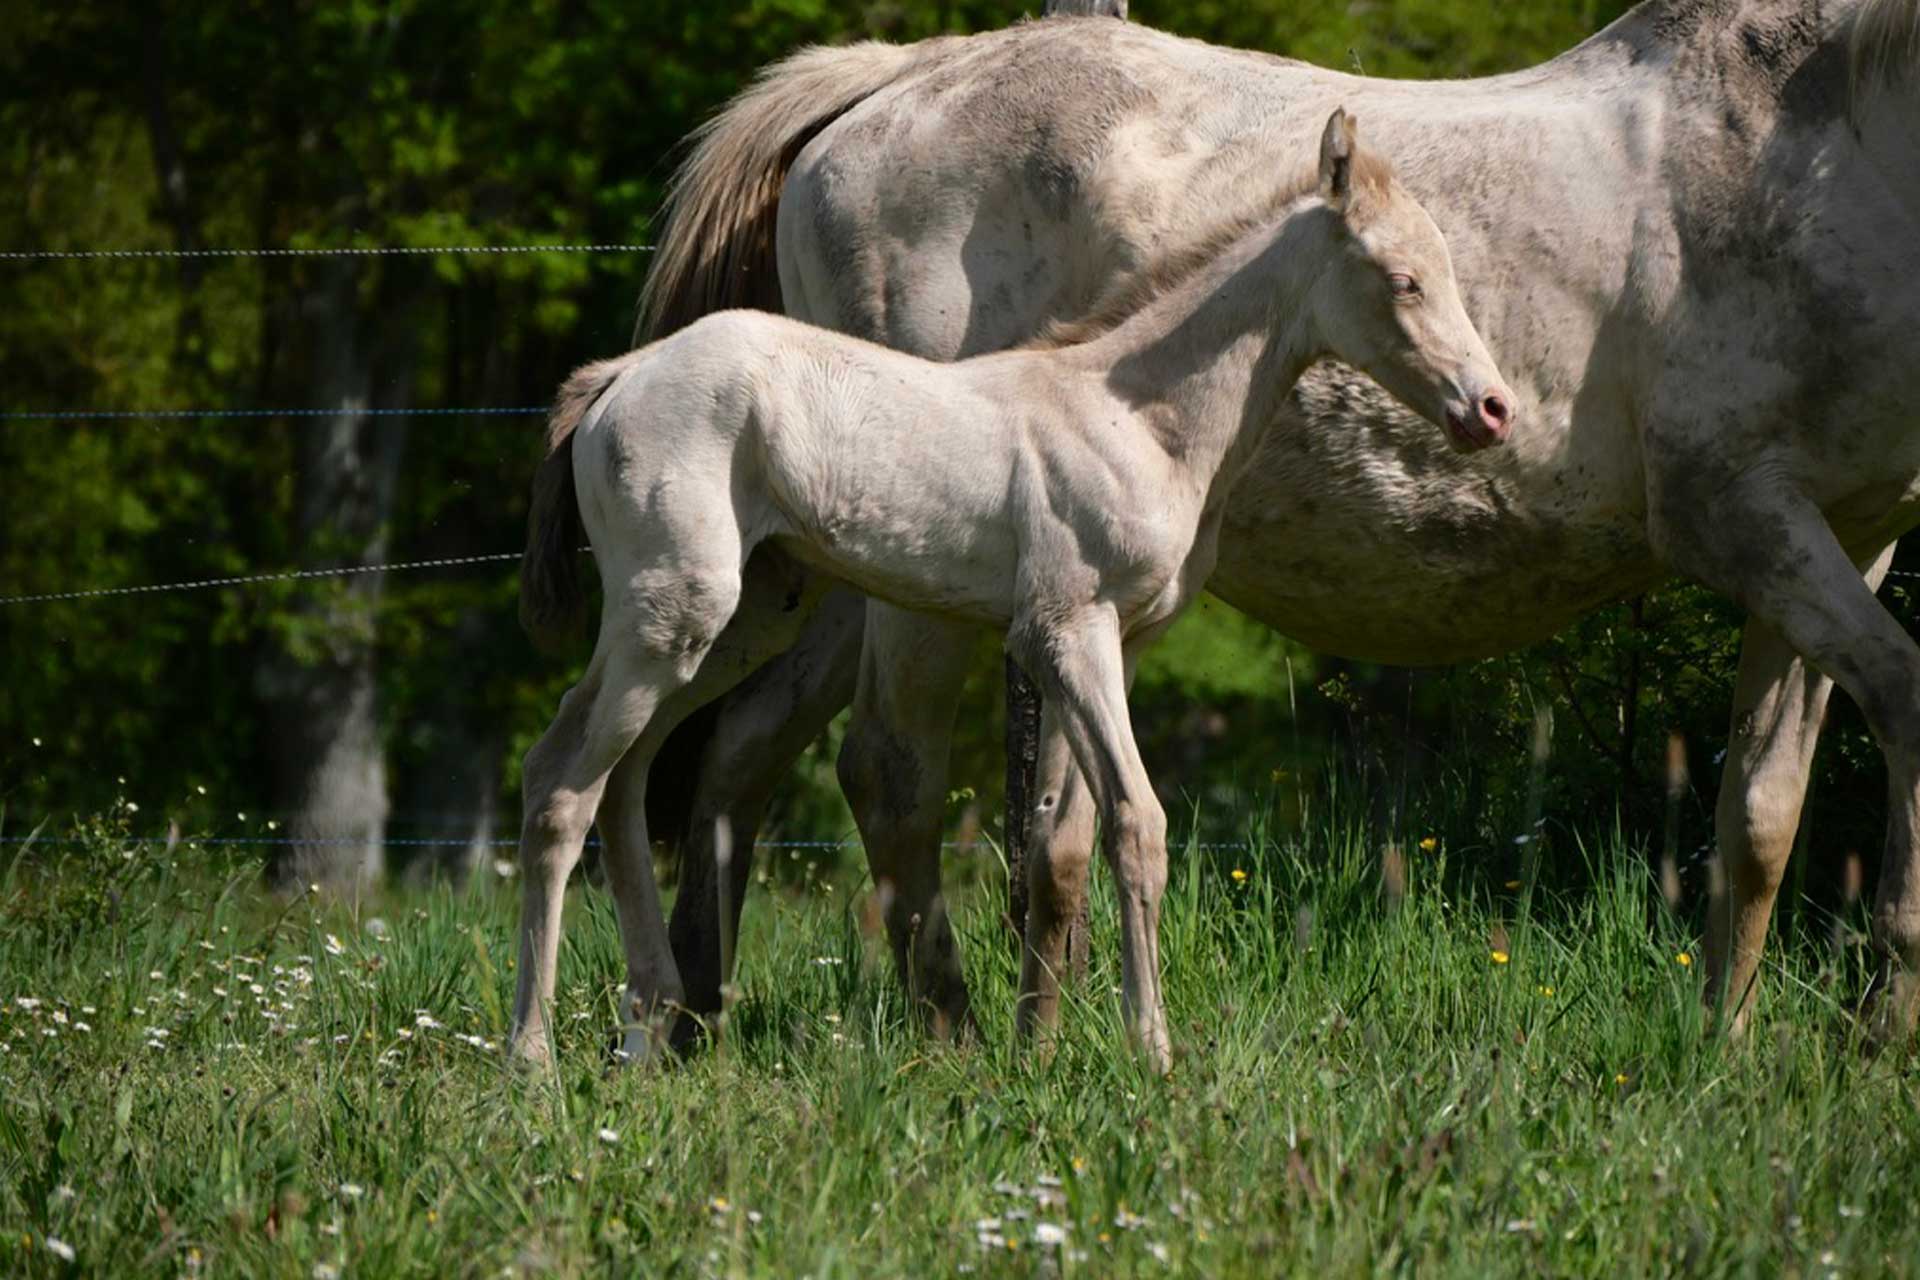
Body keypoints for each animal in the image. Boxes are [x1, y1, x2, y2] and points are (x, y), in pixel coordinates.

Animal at [510, 112, 1512, 1074]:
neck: (1136, 417)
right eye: (1403, 279)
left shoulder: (1120, 641)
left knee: (623, 777)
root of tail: (616, 379)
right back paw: (534, 1058)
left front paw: (1045, 1045)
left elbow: (1066, 841)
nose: (1492, 409)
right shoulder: (1065, 629)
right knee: (562, 780)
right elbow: (1139, 823)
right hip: (672, 609)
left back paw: (645, 1030)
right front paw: (1152, 1051)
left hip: (736, 620)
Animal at [599, 0, 1920, 1043]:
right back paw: (951, 1035)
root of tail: (885, 84)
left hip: (850, 564)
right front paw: (1882, 1022)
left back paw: (697, 1019)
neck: (1823, 145)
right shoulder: (1737, 511)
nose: (1492, 406)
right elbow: (1902, 699)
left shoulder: (1848, 533)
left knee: (743, 749)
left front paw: (1729, 1042)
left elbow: (1762, 808)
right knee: (887, 768)